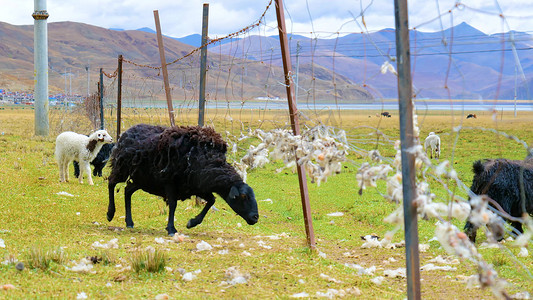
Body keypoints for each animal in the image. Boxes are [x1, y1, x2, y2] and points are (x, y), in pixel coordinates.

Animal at [106, 123, 260, 236]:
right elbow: (173, 204)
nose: (255, 217)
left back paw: (129, 222)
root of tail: (127, 132)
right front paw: (171, 229)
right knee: (111, 183)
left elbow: (211, 200)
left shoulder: (196, 186)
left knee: (127, 191)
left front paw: (192, 222)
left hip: (143, 179)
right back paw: (110, 213)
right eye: (243, 196)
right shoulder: (170, 182)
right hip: (123, 168)